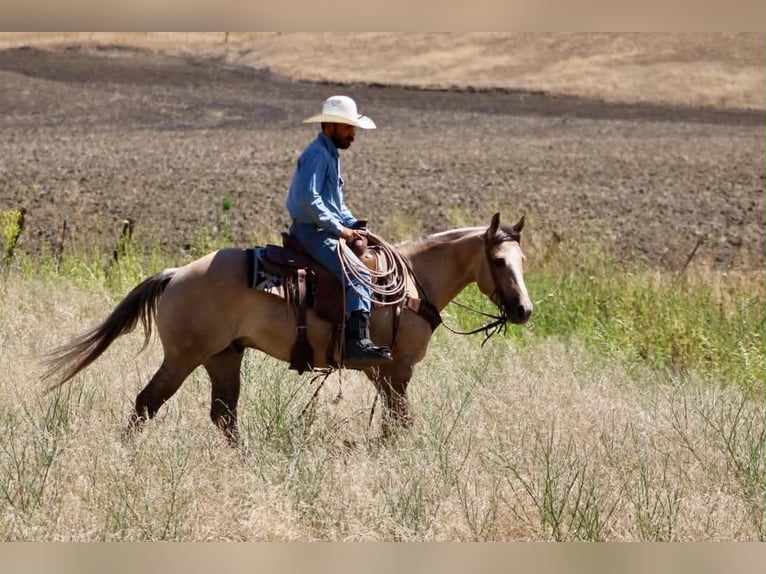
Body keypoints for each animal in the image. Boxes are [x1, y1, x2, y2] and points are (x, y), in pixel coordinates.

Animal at [42, 212, 532, 441]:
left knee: (224, 415)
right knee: (147, 403)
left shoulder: (385, 374)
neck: (412, 283)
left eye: (522, 260)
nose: (524, 310)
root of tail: (177, 273)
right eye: (497, 260)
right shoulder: (396, 369)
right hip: (183, 358)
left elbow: (397, 423)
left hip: (223, 357)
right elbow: (400, 423)